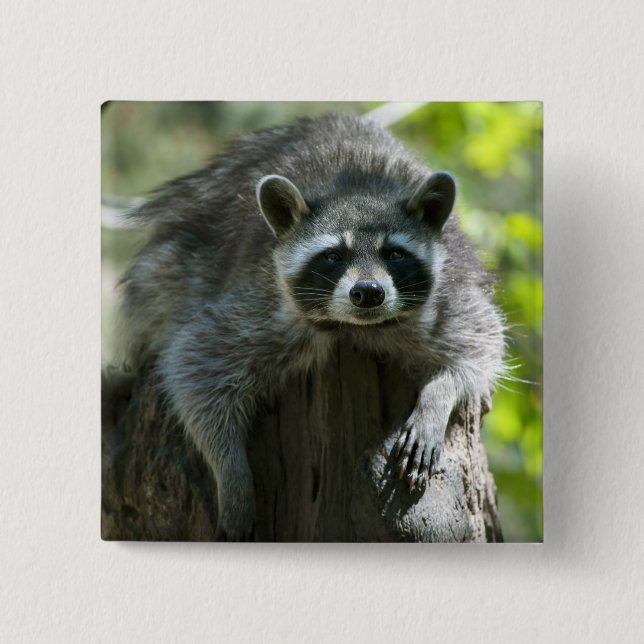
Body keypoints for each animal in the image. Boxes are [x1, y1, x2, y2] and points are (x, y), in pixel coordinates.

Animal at [113, 112, 505, 541]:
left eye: (394, 253)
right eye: (334, 255)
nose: (368, 293)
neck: (352, 328)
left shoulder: (448, 296)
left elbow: (478, 347)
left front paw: (437, 398)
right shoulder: (262, 305)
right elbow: (194, 366)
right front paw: (230, 471)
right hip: (170, 265)